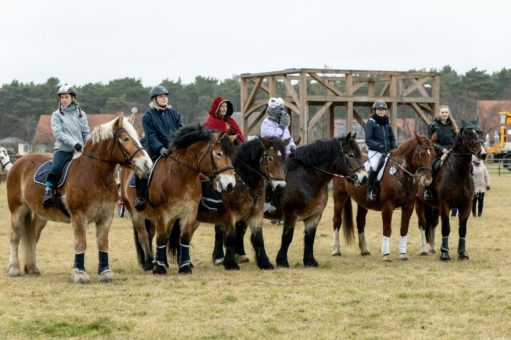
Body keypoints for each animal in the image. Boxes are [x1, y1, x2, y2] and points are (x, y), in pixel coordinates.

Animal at [122, 124, 238, 274]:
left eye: (231, 156)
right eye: (219, 154)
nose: (230, 184)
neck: (180, 176)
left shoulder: (190, 212)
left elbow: (184, 238)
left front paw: (184, 266)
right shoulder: (162, 213)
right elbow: (161, 239)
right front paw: (159, 268)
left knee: (154, 234)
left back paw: (160, 261)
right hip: (137, 214)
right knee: (144, 236)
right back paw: (149, 263)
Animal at [416, 126, 484, 262]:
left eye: (479, 135)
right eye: (469, 135)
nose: (483, 154)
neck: (459, 172)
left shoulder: (466, 205)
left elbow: (462, 229)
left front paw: (462, 253)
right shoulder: (445, 205)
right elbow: (446, 228)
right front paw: (445, 254)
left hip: (433, 207)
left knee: (433, 223)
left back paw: (432, 248)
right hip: (419, 203)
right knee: (423, 224)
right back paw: (424, 249)